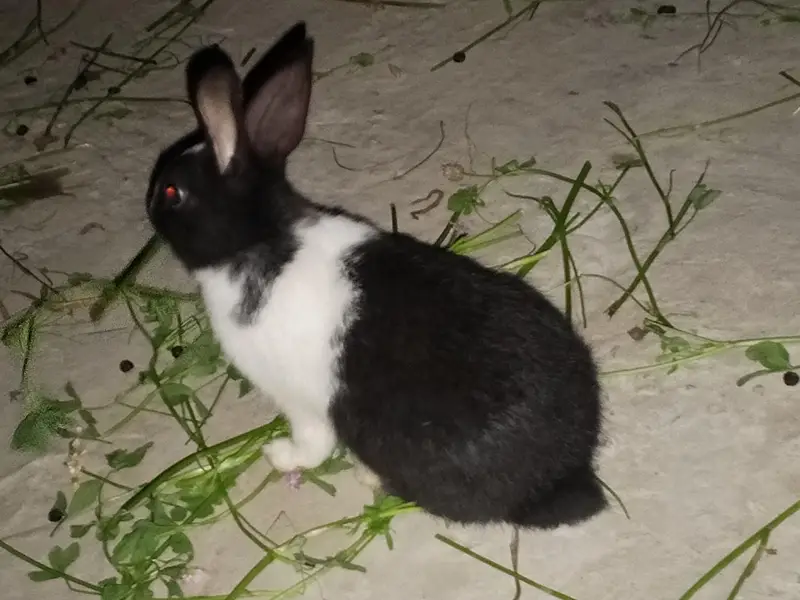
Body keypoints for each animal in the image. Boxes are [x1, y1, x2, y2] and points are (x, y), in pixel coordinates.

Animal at [145, 22, 608, 529]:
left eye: (172, 192)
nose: (148, 203)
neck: (259, 240)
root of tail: (563, 475)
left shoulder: (300, 401)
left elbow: (312, 444)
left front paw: (279, 455)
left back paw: (368, 476)